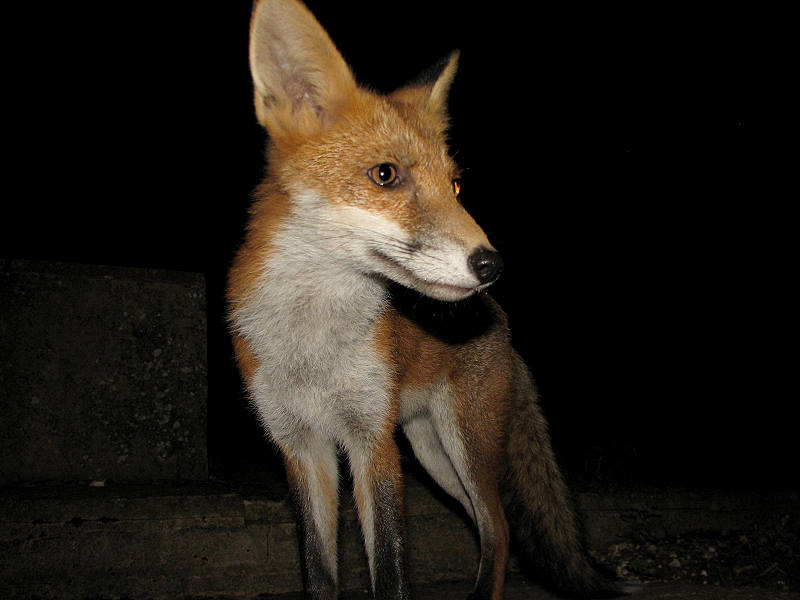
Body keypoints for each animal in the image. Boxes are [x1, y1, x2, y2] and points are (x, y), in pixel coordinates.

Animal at [227, 1, 622, 598]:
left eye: (456, 186)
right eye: (385, 174)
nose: (493, 265)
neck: (312, 344)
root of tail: (500, 318)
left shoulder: (372, 441)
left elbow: (390, 572)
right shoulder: (301, 446)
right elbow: (319, 573)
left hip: (463, 442)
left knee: (500, 524)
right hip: (431, 451)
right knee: (487, 523)